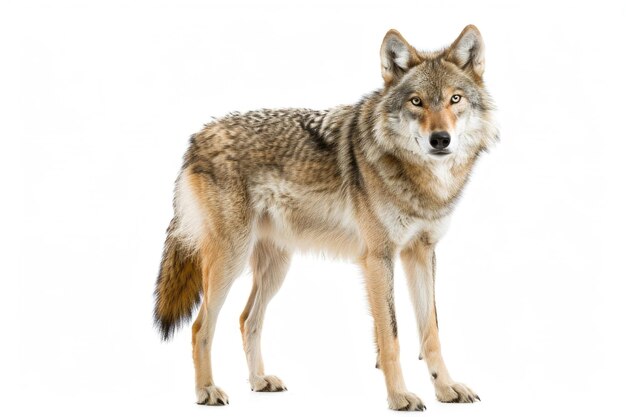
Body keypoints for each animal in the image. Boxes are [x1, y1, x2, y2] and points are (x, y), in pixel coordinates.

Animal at [152, 23, 498, 410]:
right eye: (416, 101)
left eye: (455, 99)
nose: (440, 139)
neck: (422, 181)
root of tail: (197, 137)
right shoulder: (378, 258)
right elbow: (390, 337)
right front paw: (399, 397)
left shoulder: (421, 254)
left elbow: (431, 331)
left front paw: (446, 389)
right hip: (230, 260)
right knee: (201, 327)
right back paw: (207, 390)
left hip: (276, 267)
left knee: (246, 319)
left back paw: (258, 381)